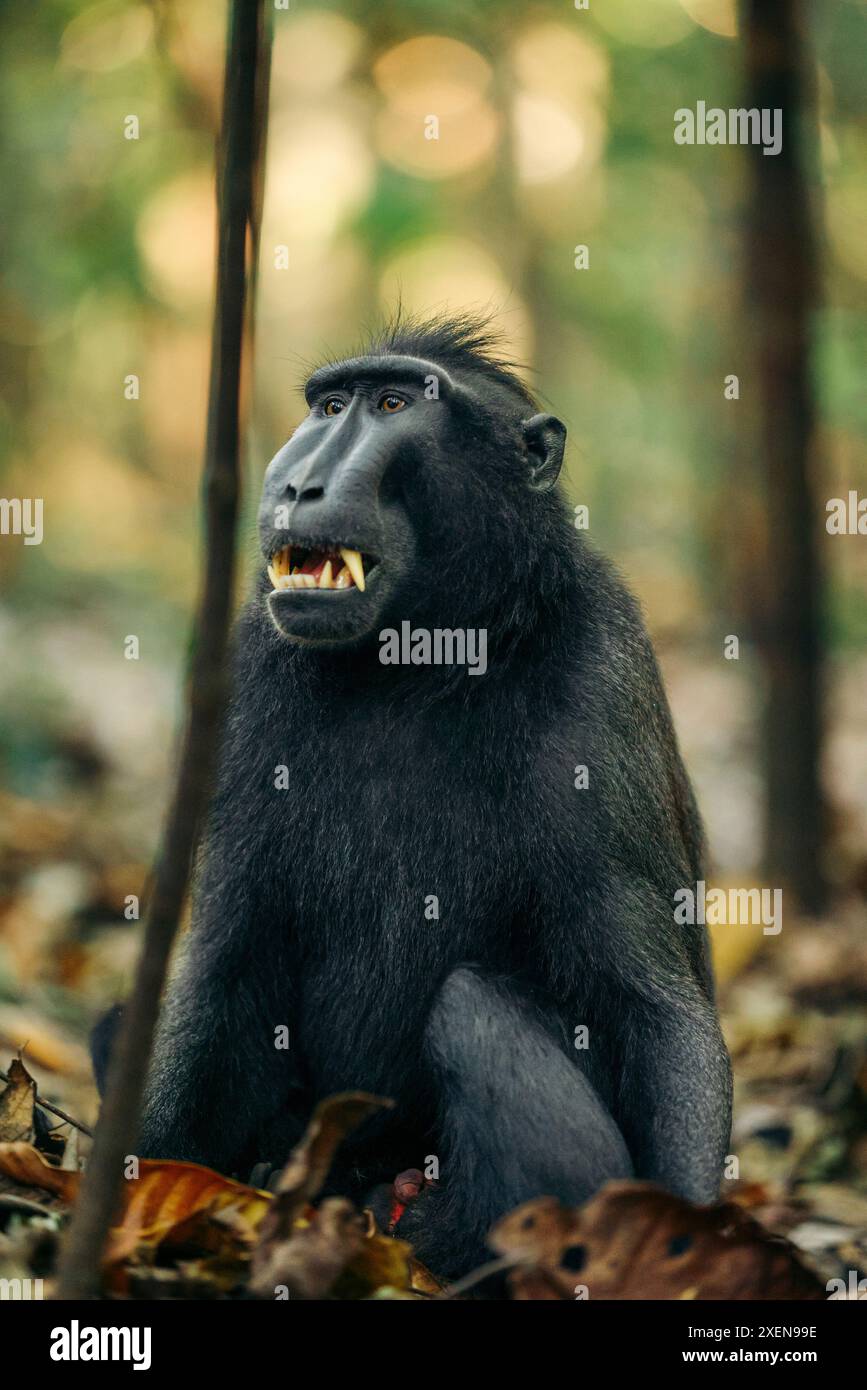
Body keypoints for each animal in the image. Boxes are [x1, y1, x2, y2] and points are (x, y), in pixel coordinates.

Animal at [107, 313, 731, 1279]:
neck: (418, 662)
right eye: (329, 407)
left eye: (394, 406)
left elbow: (656, 1013)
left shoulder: (602, 670)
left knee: (474, 1008)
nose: (296, 481)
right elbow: (225, 970)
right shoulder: (252, 673)